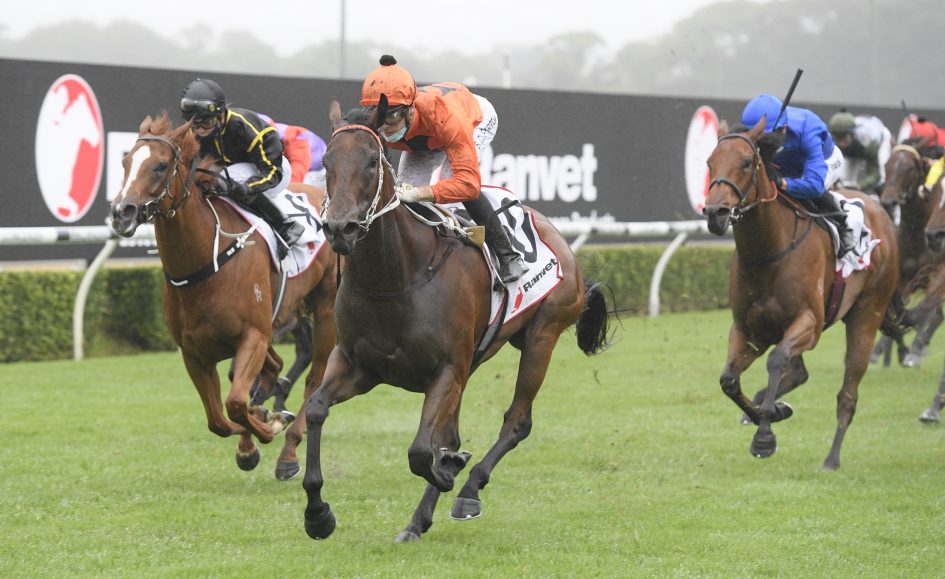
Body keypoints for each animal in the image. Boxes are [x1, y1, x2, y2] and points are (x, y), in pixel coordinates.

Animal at [109, 113, 337, 480]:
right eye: (125, 161)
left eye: (160, 166)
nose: (122, 212)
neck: (206, 260)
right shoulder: (194, 352)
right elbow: (219, 419)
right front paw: (251, 441)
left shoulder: (253, 336)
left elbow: (235, 403)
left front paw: (271, 426)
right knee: (273, 369)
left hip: (326, 308)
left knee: (314, 380)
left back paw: (289, 452)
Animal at [301, 98, 611, 542]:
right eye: (326, 162)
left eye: (373, 163)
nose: (340, 227)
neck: (397, 277)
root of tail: (557, 235)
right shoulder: (358, 366)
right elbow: (315, 409)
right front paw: (318, 514)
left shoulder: (447, 368)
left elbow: (420, 451)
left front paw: (449, 472)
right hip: (475, 361)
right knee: (453, 433)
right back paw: (422, 515)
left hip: (542, 337)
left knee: (516, 422)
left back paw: (466, 491)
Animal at [702, 117, 902, 470]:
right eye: (710, 163)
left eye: (746, 162)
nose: (716, 213)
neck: (768, 251)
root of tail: (881, 214)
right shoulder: (750, 330)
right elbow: (729, 380)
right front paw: (771, 412)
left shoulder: (808, 321)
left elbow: (776, 360)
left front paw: (764, 436)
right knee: (799, 372)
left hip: (867, 314)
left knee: (848, 393)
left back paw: (832, 458)